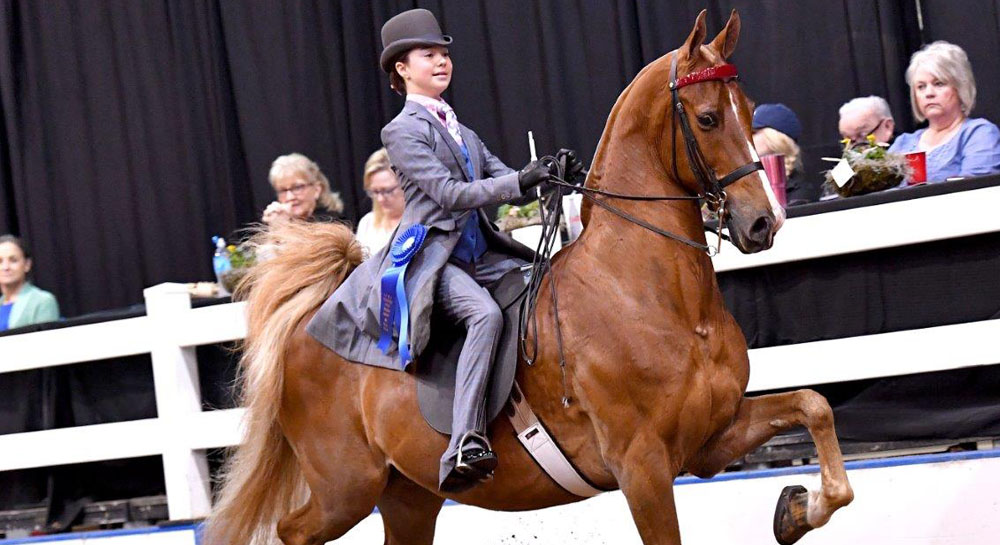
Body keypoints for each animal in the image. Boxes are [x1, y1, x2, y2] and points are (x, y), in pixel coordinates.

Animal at [205, 9, 853, 545]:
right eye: (709, 117)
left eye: (749, 110)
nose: (763, 222)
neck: (651, 296)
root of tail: (312, 326)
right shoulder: (642, 467)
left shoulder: (710, 441)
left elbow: (814, 407)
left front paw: (798, 509)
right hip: (345, 488)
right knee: (291, 531)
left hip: (407, 496)